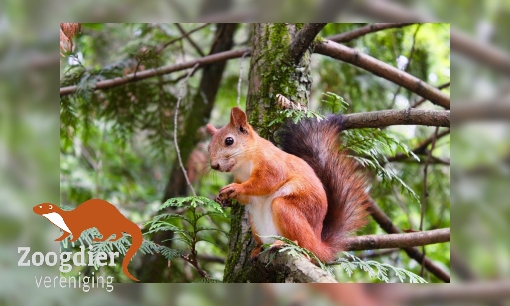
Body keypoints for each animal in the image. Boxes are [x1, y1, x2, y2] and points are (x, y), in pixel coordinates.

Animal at [206, 106, 370, 262]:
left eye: (229, 141)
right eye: (208, 147)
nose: (214, 165)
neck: (244, 165)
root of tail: (318, 245)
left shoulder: (272, 165)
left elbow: (265, 182)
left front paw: (236, 188)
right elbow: (248, 197)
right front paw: (222, 197)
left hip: (288, 211)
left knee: (303, 245)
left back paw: (286, 244)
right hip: (256, 222)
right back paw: (258, 249)